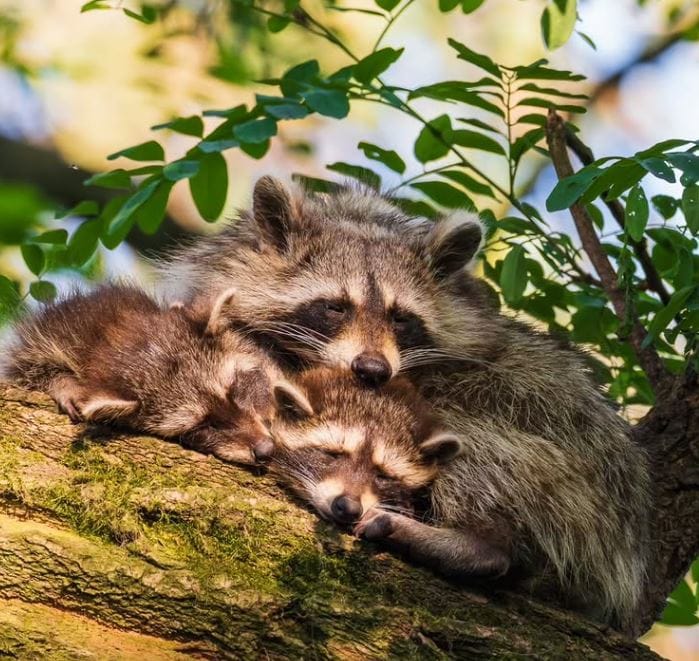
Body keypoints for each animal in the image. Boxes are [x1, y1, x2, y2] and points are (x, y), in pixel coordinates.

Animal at [1, 284, 307, 465]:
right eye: (201, 426)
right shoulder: (54, 333)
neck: (115, 336)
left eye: (234, 391)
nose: (265, 450)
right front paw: (63, 384)